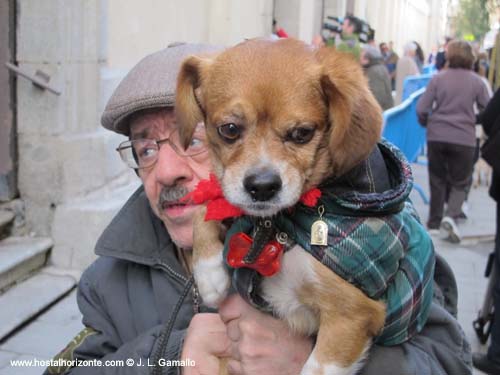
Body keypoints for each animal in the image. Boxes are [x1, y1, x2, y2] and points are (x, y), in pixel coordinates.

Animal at [177, 39, 386, 375]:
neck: (277, 227)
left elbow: (314, 370)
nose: (262, 186)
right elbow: (208, 202)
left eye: (302, 133)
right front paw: (208, 271)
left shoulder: (351, 315)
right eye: (230, 129)